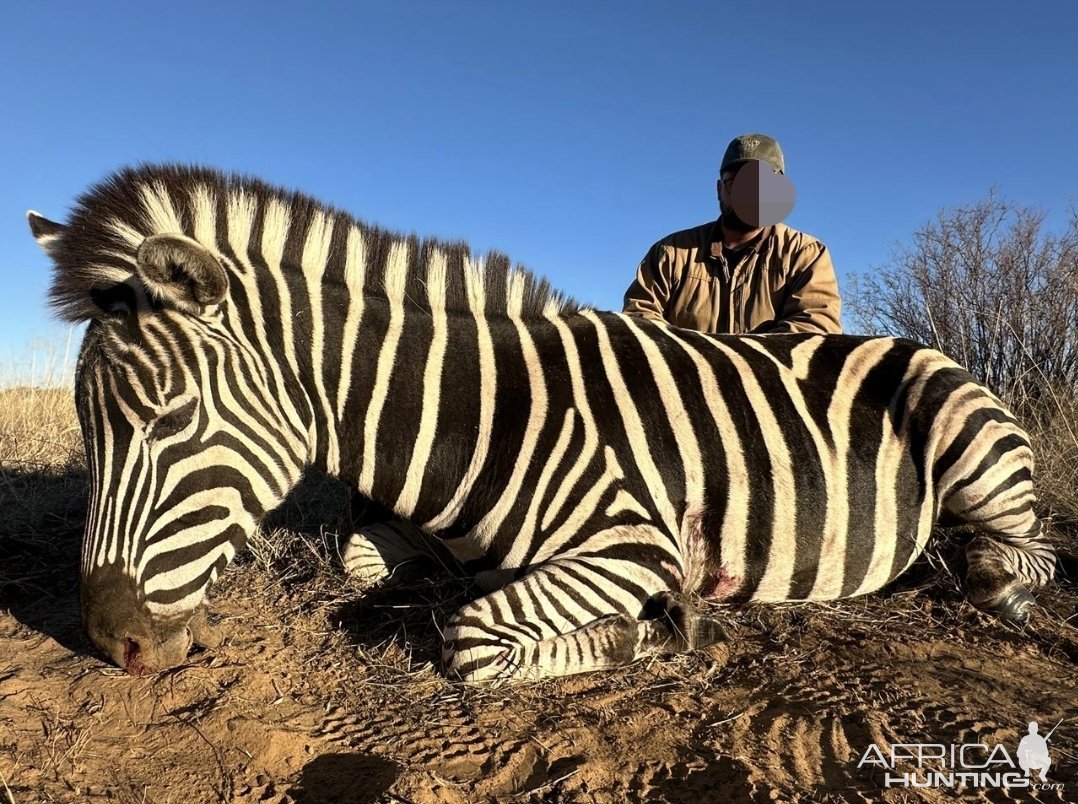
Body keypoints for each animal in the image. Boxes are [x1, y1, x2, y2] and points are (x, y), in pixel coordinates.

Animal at [29, 165, 1056, 681]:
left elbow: (471, 640)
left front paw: (658, 631)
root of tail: (919, 342)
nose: (108, 644)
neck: (474, 417)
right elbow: (361, 559)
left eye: (166, 417)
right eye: (87, 426)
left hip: (972, 449)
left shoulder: (635, 542)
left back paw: (987, 580)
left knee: (1024, 553)